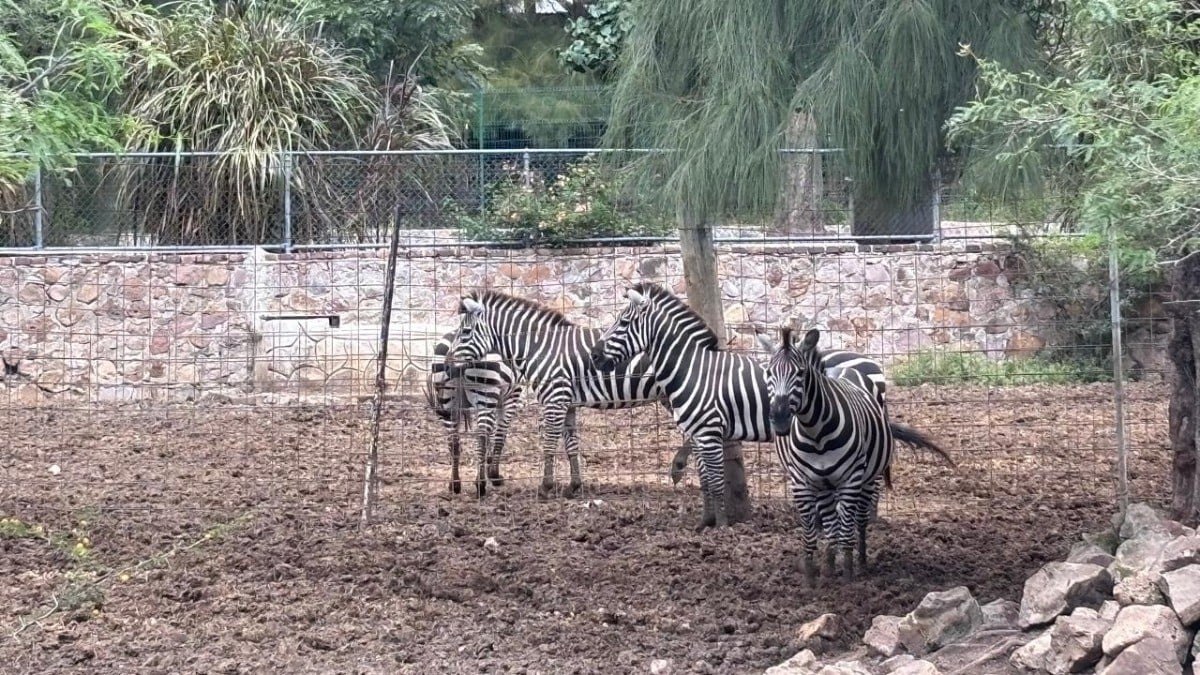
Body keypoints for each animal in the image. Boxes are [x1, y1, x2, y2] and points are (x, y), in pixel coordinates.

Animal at [424, 329, 523, 495]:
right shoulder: (511, 396)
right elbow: (500, 436)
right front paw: (494, 475)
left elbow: (493, 434)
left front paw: (489, 464)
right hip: (486, 394)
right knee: (481, 437)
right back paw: (480, 484)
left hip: (449, 402)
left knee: (453, 441)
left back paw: (455, 484)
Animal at [449, 289, 693, 499]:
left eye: (466, 332)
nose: (448, 364)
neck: (539, 348)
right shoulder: (567, 404)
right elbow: (571, 445)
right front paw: (574, 486)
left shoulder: (555, 399)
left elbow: (549, 443)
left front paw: (546, 487)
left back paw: (678, 467)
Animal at [588, 282, 952, 533]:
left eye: (622, 323)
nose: (594, 356)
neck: (693, 368)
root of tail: (873, 363)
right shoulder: (698, 432)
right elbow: (704, 481)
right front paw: (704, 523)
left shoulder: (708, 432)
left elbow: (716, 481)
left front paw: (722, 527)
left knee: (871, 478)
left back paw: (868, 521)